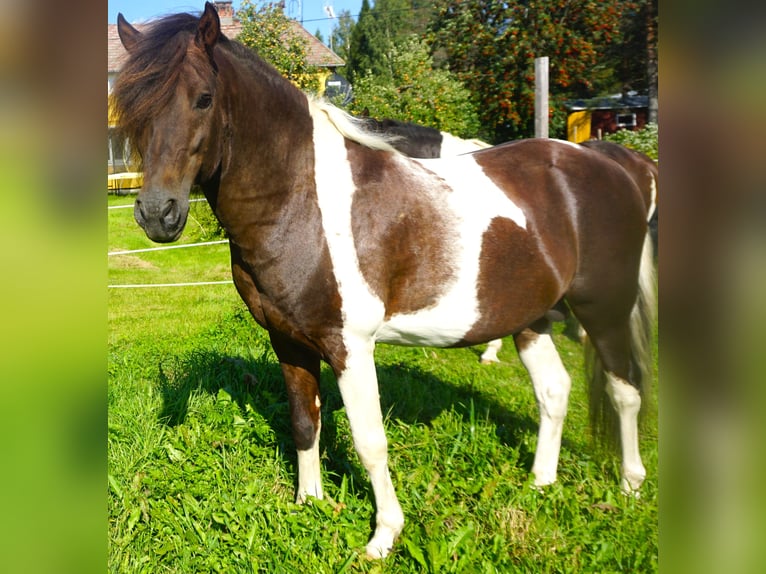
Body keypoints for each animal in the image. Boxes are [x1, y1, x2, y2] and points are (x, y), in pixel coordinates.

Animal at [113, 3, 655, 559]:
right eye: (132, 106)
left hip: (605, 311)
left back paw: (630, 487)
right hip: (531, 315)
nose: (157, 214)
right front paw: (309, 504)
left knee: (626, 390)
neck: (302, 199)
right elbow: (305, 422)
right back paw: (541, 482)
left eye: (203, 98)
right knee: (554, 391)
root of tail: (611, 163)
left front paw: (383, 536)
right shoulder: (288, 339)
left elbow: (370, 441)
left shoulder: (350, 344)